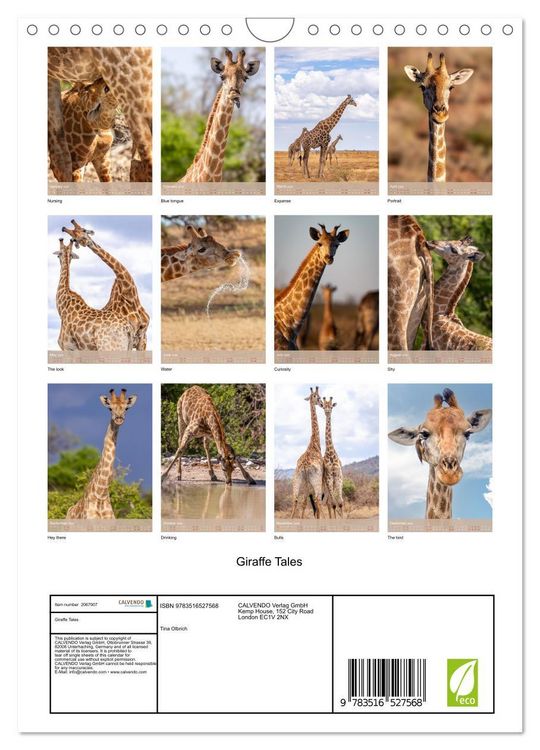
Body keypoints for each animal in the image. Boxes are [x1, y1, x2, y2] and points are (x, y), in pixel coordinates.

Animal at [290, 387, 324, 519]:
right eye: (318, 397)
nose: (322, 404)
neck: (314, 443)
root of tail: (304, 467)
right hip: (315, 481)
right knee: (317, 500)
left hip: (297, 481)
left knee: (296, 500)